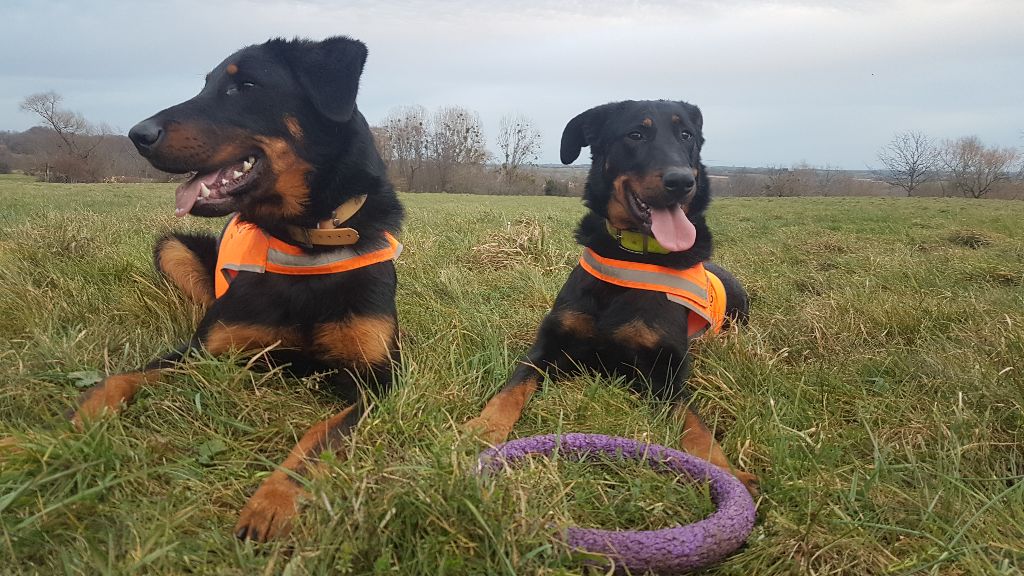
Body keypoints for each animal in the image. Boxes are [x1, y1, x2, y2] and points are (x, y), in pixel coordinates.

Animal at [71, 38, 403, 541]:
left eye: (245, 85)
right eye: (205, 84)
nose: (137, 134)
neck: (306, 244)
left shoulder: (376, 379)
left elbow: (320, 435)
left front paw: (272, 502)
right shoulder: (204, 349)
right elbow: (127, 375)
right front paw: (79, 417)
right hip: (172, 247)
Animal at [468, 98, 757, 494]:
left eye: (687, 135)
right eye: (635, 134)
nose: (682, 181)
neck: (632, 255)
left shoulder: (667, 372)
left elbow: (694, 424)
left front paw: (725, 471)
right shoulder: (549, 347)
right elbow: (512, 388)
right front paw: (484, 427)